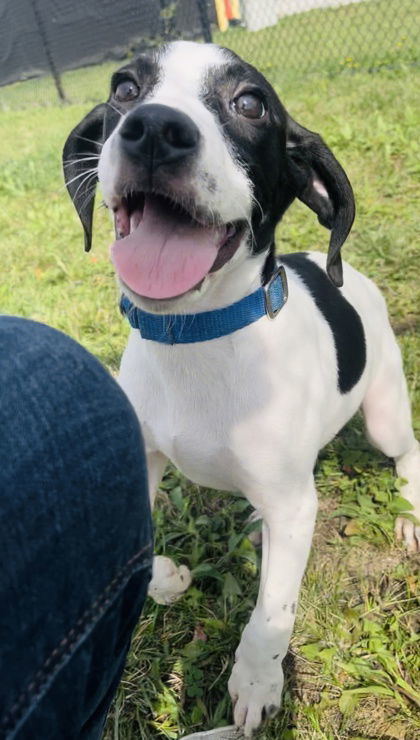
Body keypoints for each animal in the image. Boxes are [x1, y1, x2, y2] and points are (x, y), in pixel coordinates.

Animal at [63, 42, 420, 740]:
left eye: (250, 103)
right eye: (124, 88)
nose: (153, 129)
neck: (193, 336)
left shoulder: (296, 509)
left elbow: (271, 613)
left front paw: (257, 683)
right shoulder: (143, 460)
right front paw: (167, 578)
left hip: (384, 411)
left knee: (408, 449)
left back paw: (410, 507)